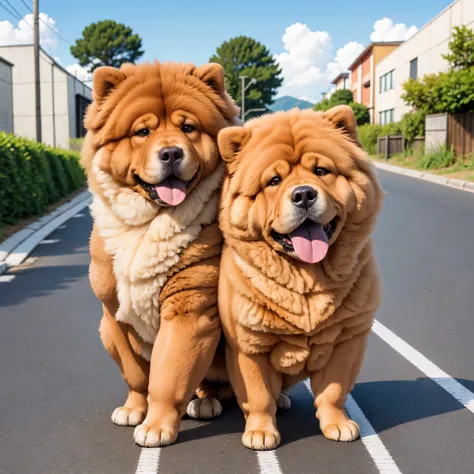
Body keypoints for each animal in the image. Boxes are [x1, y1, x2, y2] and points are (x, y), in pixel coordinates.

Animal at [81, 61, 241, 446]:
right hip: (103, 331)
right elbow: (138, 374)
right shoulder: (114, 316)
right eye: (142, 131)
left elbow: (168, 377)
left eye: (188, 128)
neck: (148, 225)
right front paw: (134, 409)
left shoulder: (188, 310)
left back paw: (210, 402)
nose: (170, 153)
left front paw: (156, 427)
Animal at [217, 105, 384, 450]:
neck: (308, 278)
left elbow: (334, 390)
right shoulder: (249, 344)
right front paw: (260, 432)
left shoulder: (349, 338)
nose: (304, 194)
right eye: (274, 180)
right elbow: (258, 395)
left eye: (321, 170)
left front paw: (338, 425)